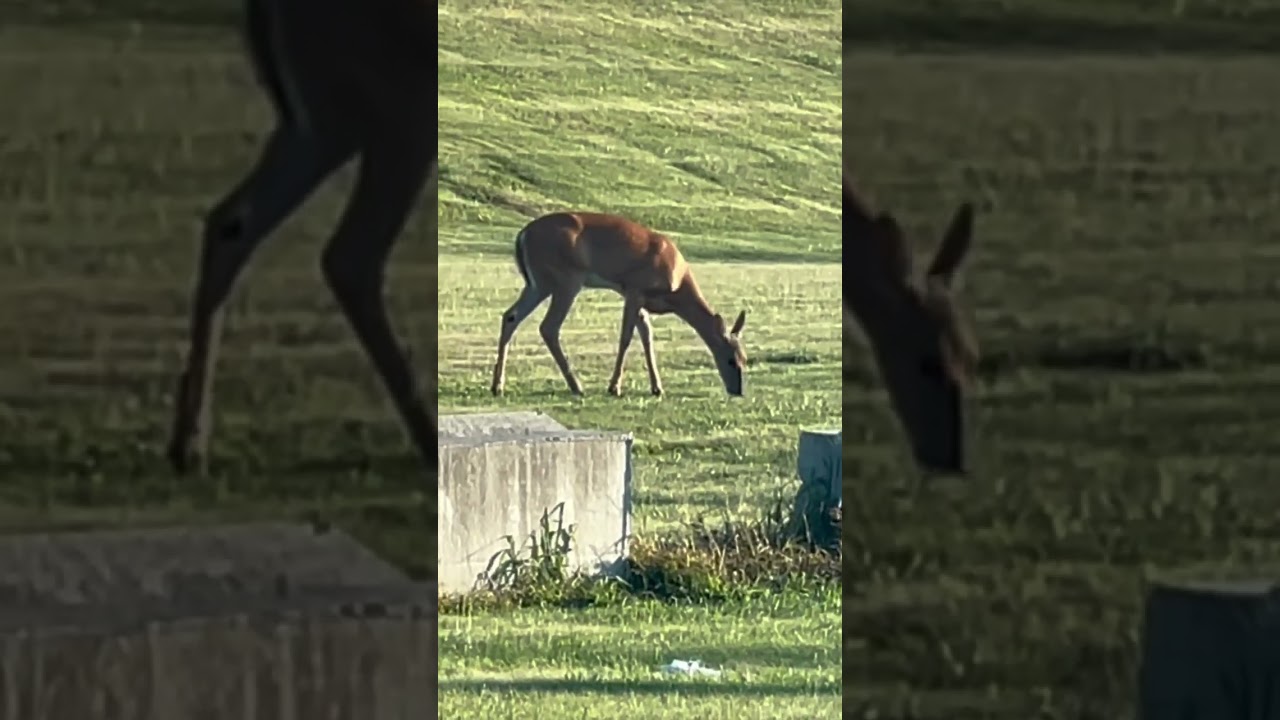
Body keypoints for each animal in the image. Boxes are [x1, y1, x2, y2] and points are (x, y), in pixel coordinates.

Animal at [166, 0, 435, 475]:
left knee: (230, 222)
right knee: (350, 255)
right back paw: (433, 440)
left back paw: (189, 446)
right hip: (399, 102)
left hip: (327, 118)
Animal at [490, 212, 748, 399]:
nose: (738, 390)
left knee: (510, 316)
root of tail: (522, 235)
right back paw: (576, 385)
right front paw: (614, 387)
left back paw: (497, 386)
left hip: (538, 284)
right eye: (731, 359)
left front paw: (657, 387)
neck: (677, 286)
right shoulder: (634, 289)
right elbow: (626, 337)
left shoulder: (637, 298)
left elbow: (647, 335)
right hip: (566, 279)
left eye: (745, 359)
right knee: (548, 327)